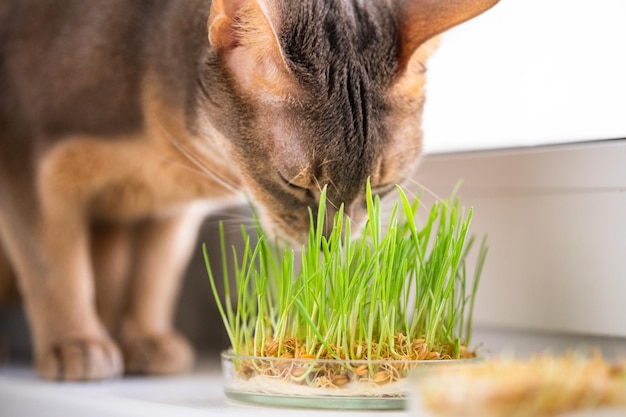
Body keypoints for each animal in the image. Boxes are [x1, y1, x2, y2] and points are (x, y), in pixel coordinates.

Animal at [0, 0, 498, 378]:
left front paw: (147, 337)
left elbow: (155, 276)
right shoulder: (24, 161)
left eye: (382, 187)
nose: (330, 244)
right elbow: (56, 267)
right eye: (295, 183)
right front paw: (75, 343)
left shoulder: (170, 214)